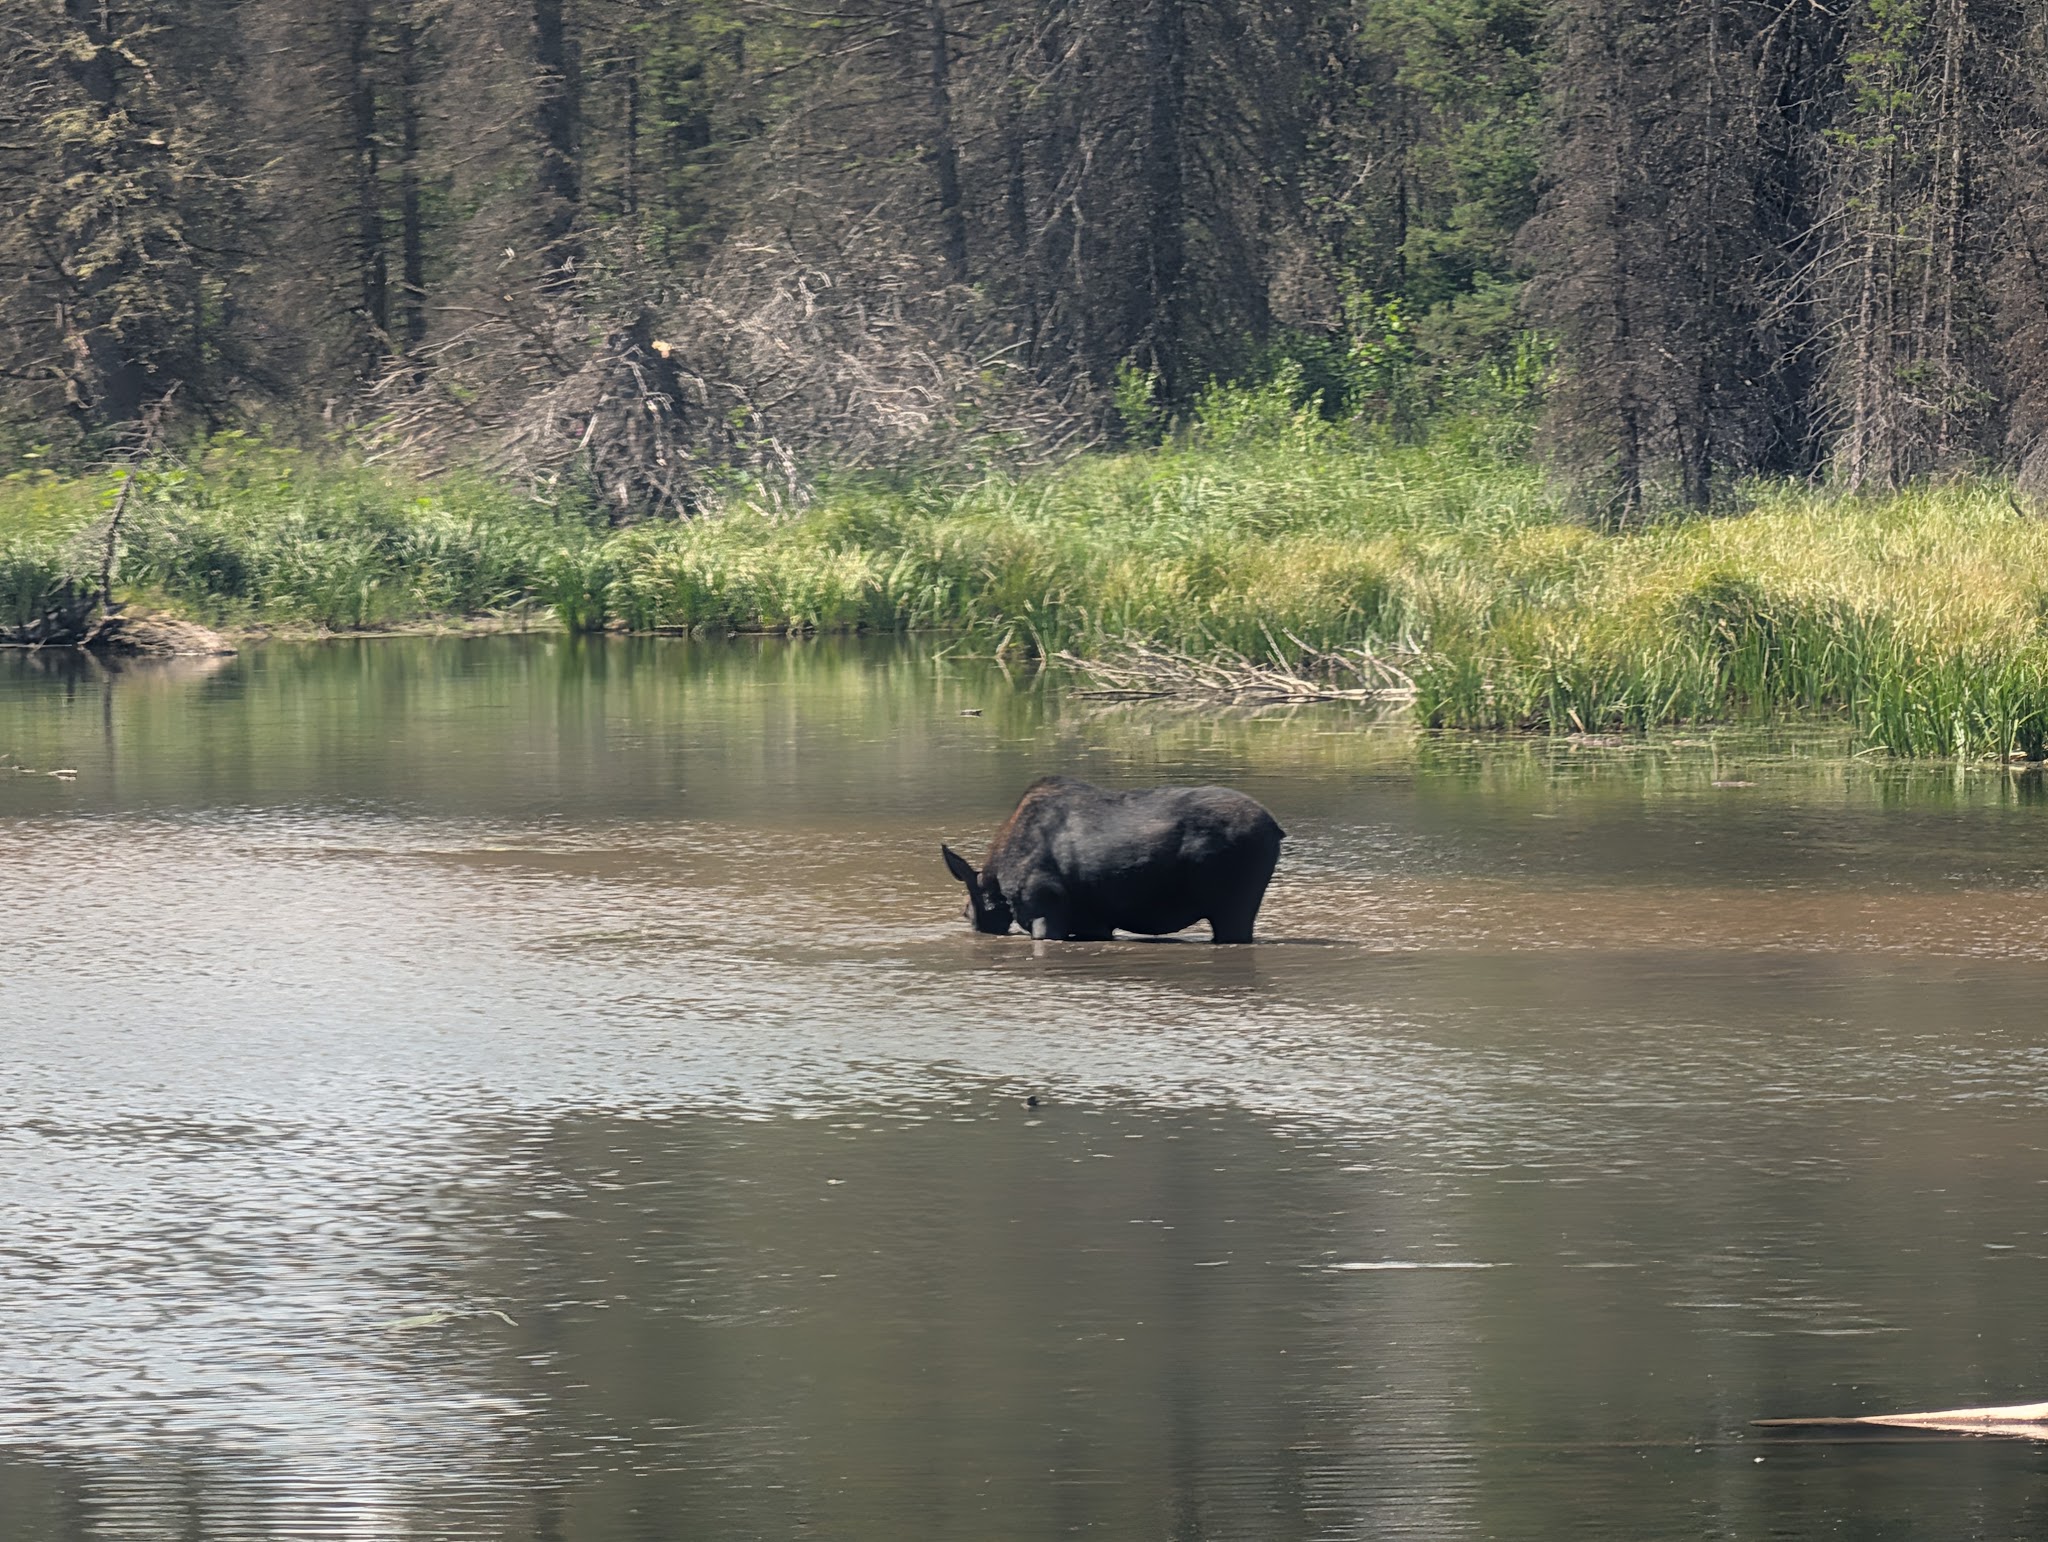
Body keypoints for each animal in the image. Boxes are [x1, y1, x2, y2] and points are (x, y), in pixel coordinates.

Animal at [940, 775, 1285, 943]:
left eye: (966, 912)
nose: (976, 928)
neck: (998, 880)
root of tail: (1276, 828)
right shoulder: (1093, 922)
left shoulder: (1045, 911)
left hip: (1234, 907)